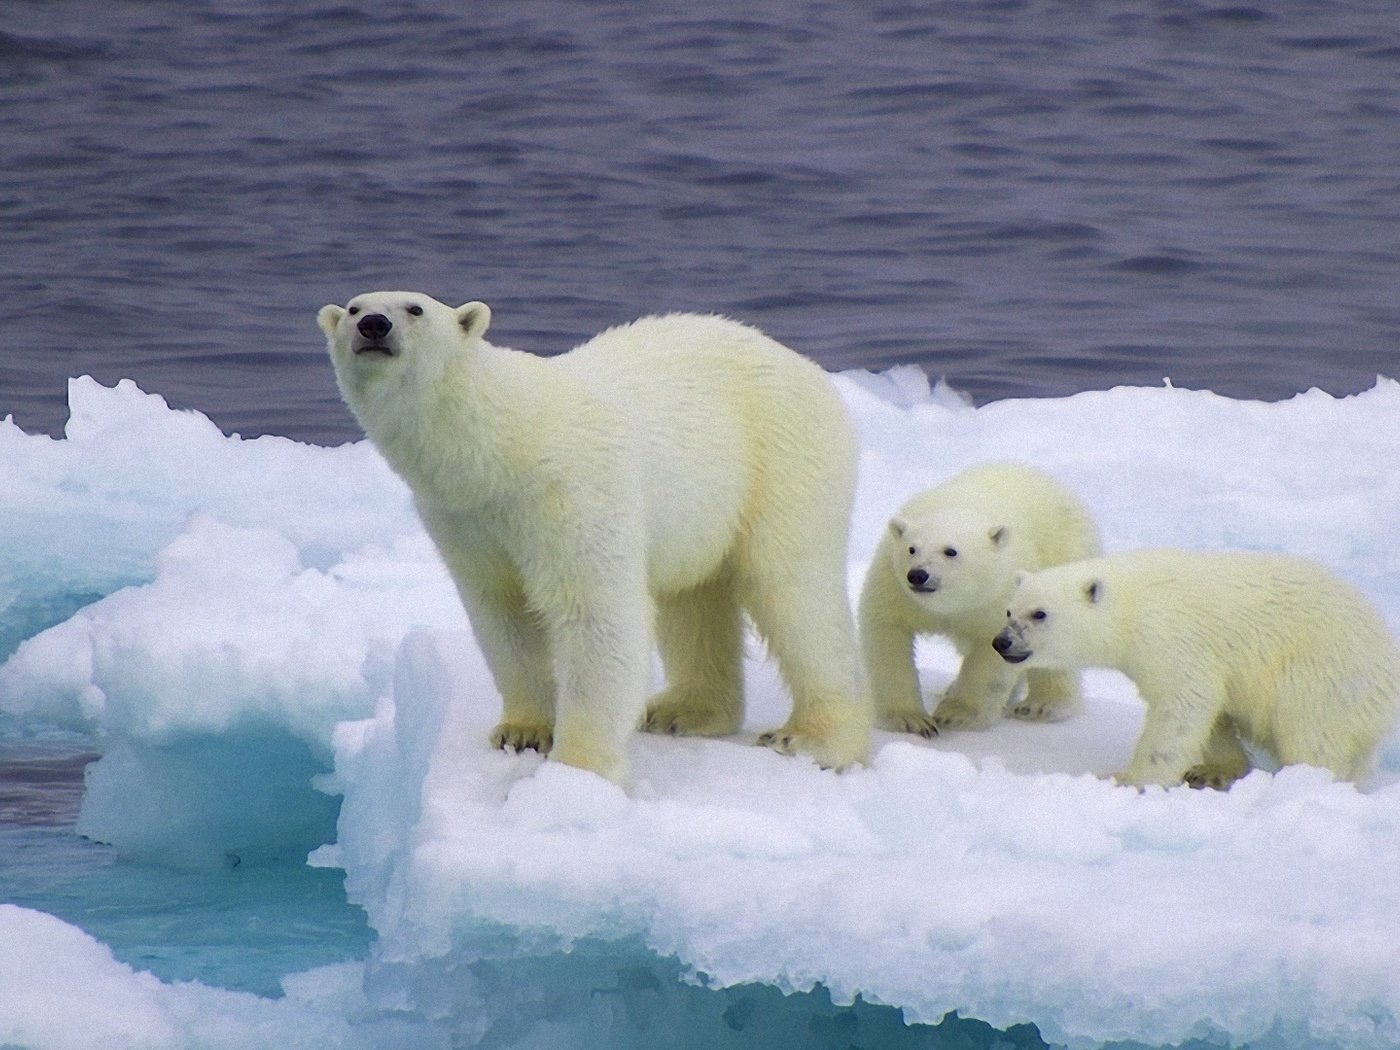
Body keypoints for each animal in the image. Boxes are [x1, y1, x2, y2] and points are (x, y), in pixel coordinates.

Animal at [320, 292, 868, 784]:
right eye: (353, 307)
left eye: (414, 308)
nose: (373, 325)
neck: (504, 444)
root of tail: (809, 369)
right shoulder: (463, 519)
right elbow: (502, 612)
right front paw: (522, 731)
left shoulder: (571, 491)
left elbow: (594, 614)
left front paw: (576, 769)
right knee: (692, 599)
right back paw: (683, 711)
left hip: (781, 459)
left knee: (792, 591)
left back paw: (812, 738)